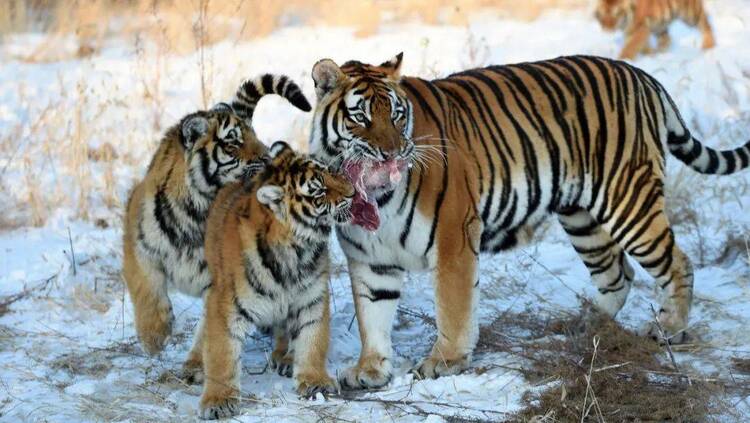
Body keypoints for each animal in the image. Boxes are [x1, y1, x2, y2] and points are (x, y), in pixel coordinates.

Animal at [310, 53, 750, 390]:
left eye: (398, 116)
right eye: (361, 118)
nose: (393, 153)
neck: (377, 197)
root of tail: (642, 76)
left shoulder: (454, 239)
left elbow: (452, 308)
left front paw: (445, 361)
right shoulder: (370, 259)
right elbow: (373, 317)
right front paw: (370, 369)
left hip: (629, 201)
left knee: (677, 263)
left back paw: (669, 328)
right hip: (581, 217)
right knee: (616, 273)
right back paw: (586, 326)